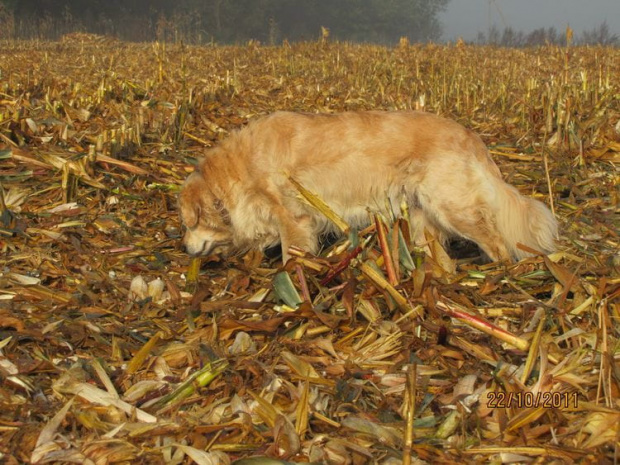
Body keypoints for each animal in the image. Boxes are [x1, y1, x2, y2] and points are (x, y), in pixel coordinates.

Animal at [178, 109, 556, 260]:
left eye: (188, 224)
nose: (184, 248)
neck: (240, 167)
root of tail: (471, 136)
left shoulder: (293, 218)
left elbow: (291, 255)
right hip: (421, 215)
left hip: (454, 206)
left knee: (498, 244)